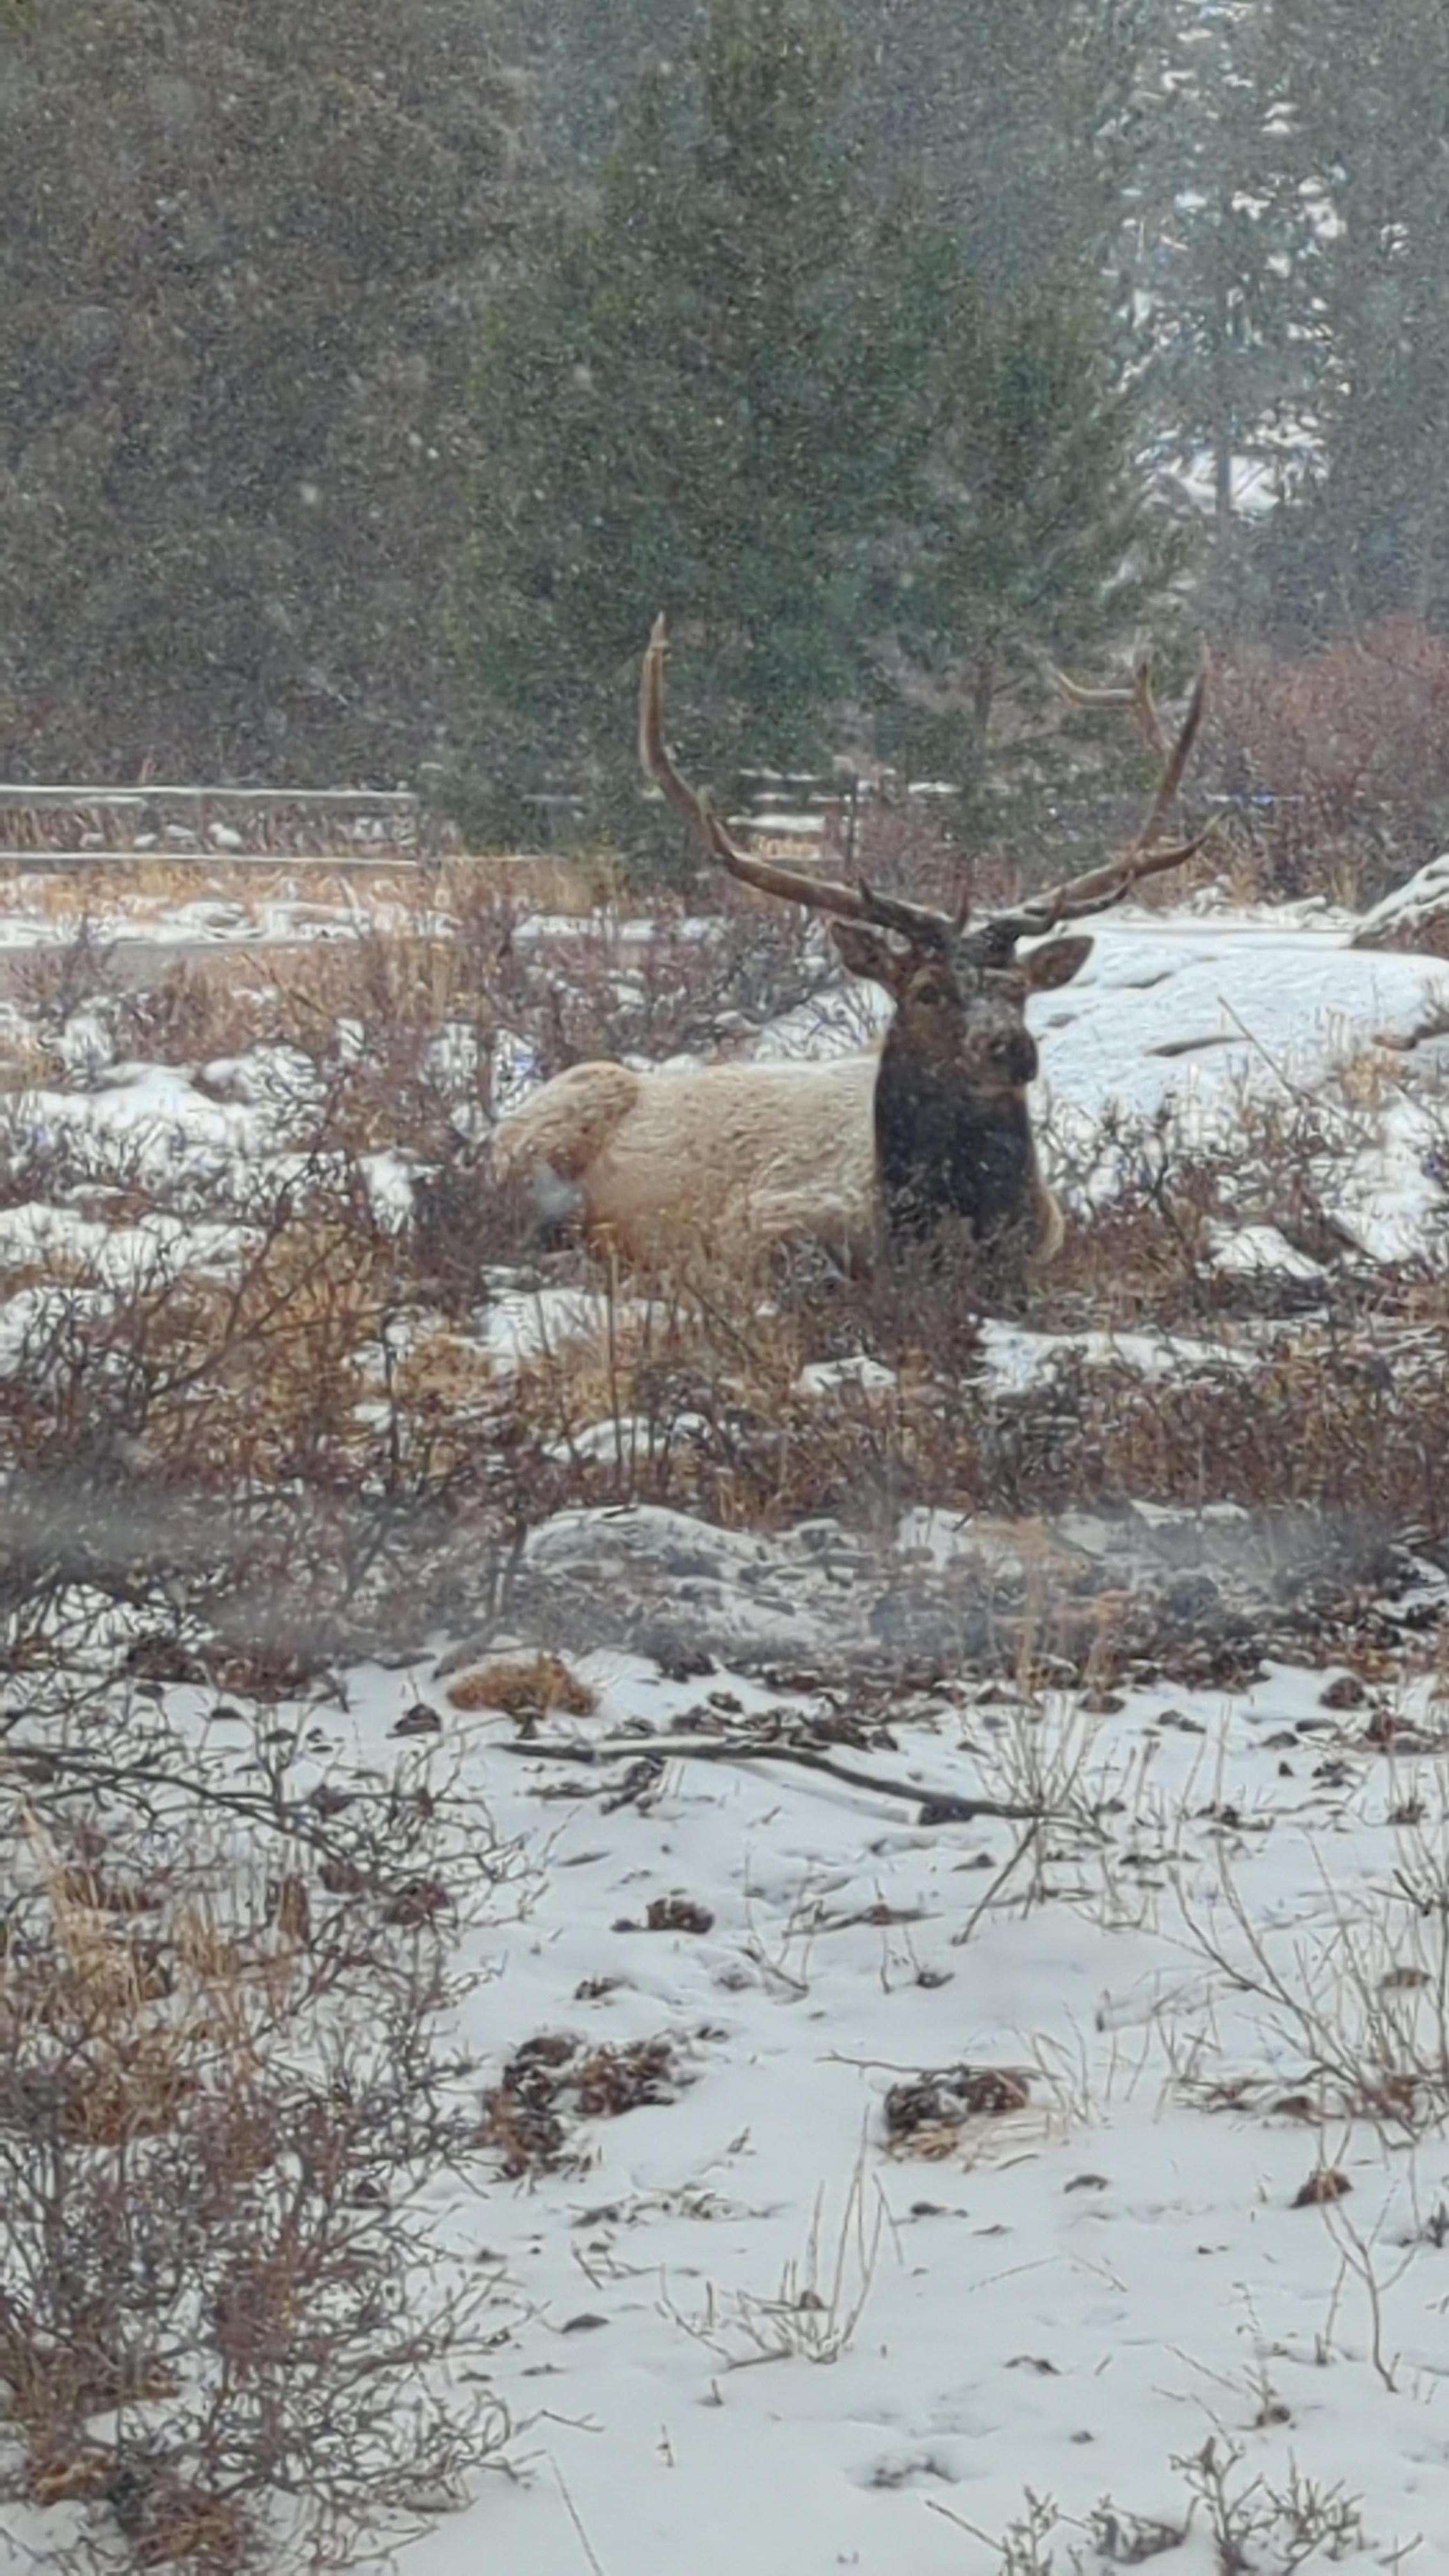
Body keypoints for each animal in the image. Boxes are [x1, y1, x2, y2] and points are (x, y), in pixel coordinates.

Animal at [490, 615, 1211, 1292]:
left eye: (1018, 988)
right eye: (926, 990)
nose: (1011, 1048)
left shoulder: (1046, 1243)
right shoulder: (749, 1227)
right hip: (555, 1127)